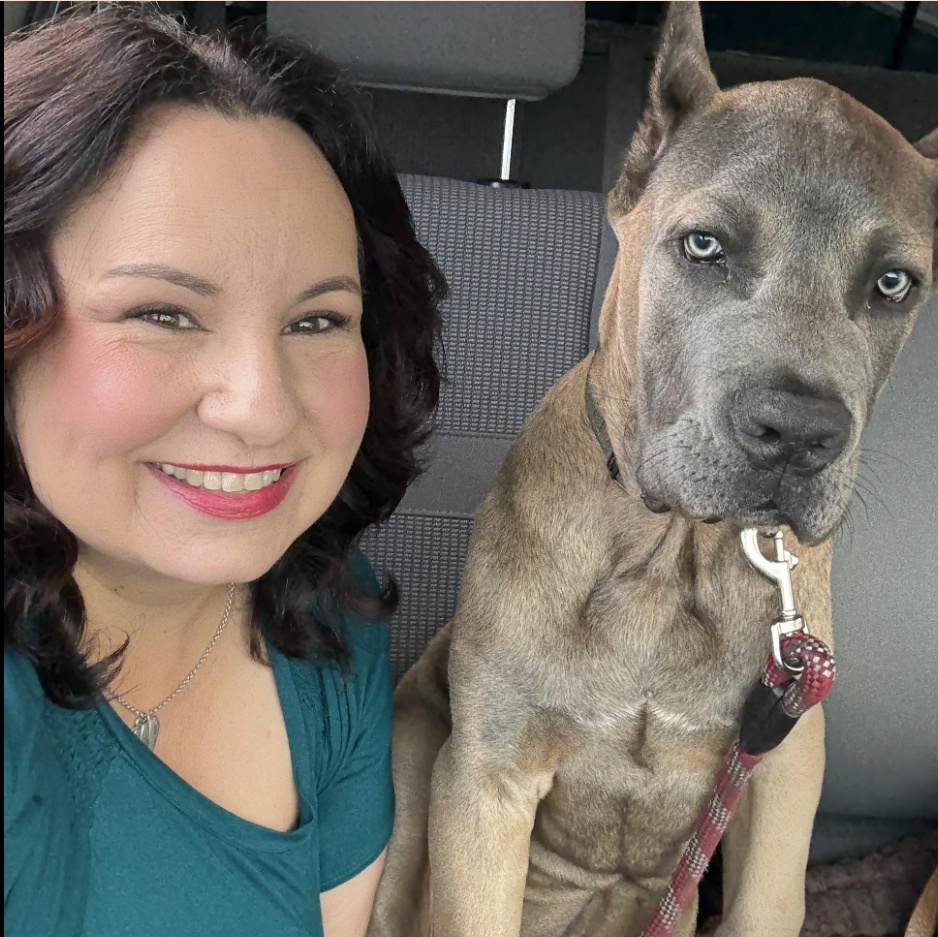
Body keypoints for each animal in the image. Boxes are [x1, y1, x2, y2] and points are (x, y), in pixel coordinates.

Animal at [368, 4, 938, 936]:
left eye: (893, 283)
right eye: (703, 245)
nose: (799, 433)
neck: (669, 554)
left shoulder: (781, 776)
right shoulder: (486, 777)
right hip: (417, 754)